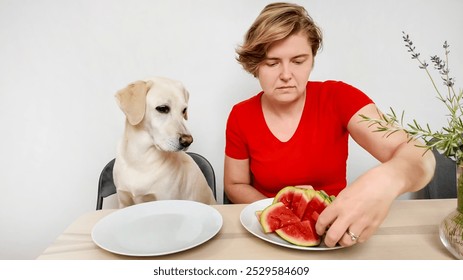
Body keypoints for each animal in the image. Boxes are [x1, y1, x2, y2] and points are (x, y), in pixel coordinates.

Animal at [113, 76, 217, 208]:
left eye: (184, 110)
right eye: (162, 109)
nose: (188, 141)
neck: (140, 159)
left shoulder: (165, 199)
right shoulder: (123, 201)